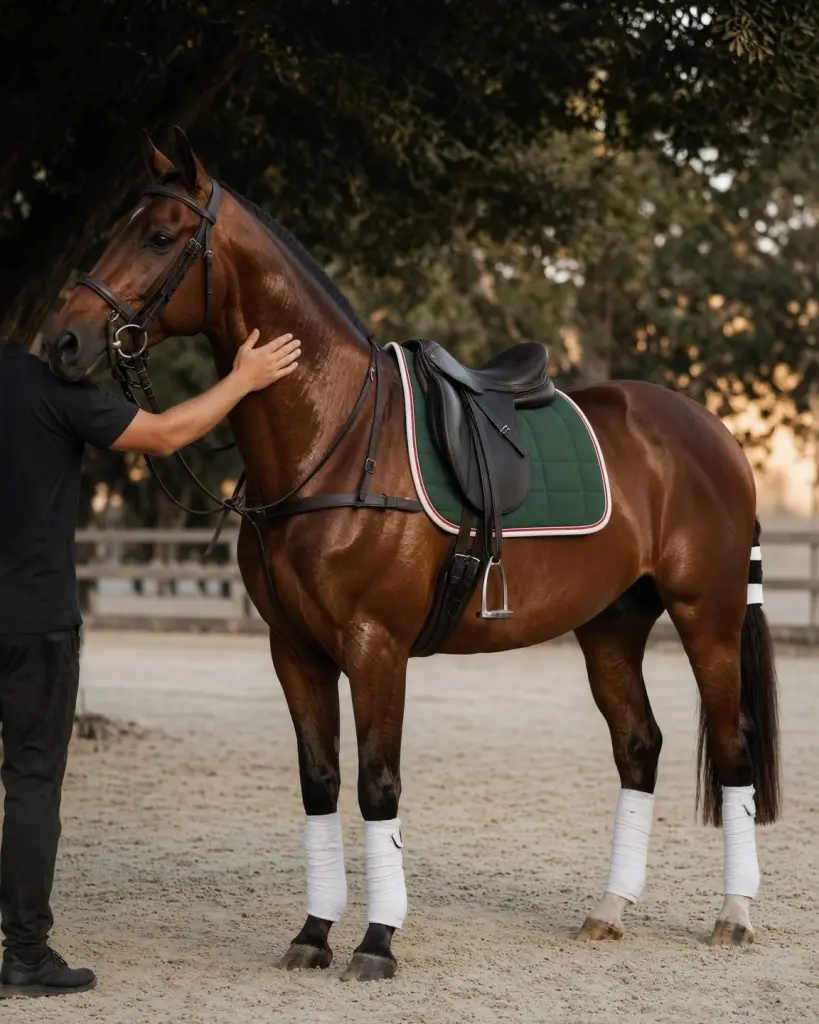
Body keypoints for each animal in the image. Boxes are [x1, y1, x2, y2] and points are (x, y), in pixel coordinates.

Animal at [47, 128, 780, 981]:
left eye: (161, 236)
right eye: (113, 229)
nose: (65, 341)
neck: (333, 438)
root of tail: (713, 434)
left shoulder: (376, 647)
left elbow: (377, 786)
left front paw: (376, 941)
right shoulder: (294, 649)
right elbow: (320, 783)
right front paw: (313, 933)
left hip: (706, 617)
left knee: (731, 748)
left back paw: (734, 914)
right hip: (610, 626)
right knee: (639, 748)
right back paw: (609, 909)